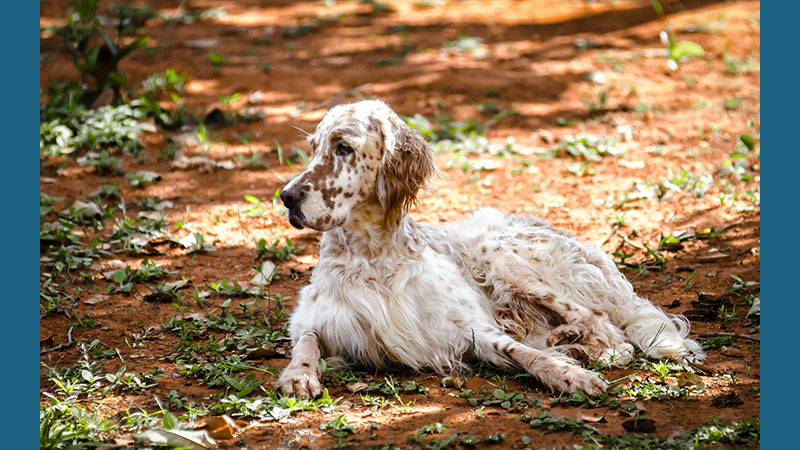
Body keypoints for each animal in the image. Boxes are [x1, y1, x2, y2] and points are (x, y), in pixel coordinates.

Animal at [276, 99, 708, 398]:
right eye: (313, 149)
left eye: (343, 147)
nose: (286, 197)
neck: (373, 256)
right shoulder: (314, 317)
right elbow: (306, 343)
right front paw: (299, 375)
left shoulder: (470, 328)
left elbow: (523, 353)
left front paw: (570, 375)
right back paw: (569, 341)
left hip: (497, 251)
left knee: (609, 330)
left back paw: (580, 348)